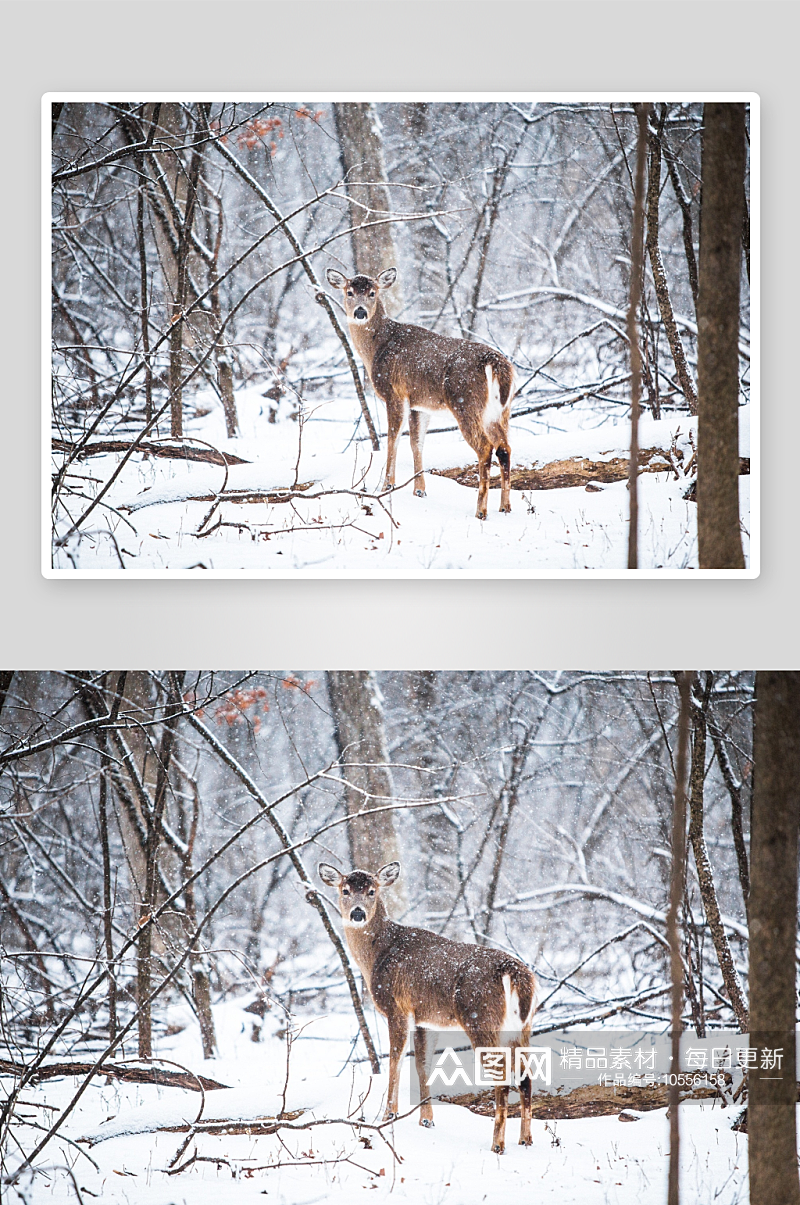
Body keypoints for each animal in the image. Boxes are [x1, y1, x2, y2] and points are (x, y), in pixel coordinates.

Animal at [318, 862, 537, 1151]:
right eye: (345, 890)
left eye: (371, 891)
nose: (357, 913)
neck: (377, 955)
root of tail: (515, 973)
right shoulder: (426, 1019)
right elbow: (423, 1065)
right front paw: (427, 1120)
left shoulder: (397, 1008)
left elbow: (395, 1061)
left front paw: (389, 1115)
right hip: (522, 1026)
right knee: (526, 1077)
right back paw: (526, 1139)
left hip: (480, 1017)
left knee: (503, 1079)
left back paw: (497, 1145)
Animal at [327, 268, 515, 518]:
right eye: (349, 292)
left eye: (372, 292)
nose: (360, 312)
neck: (377, 348)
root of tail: (496, 363)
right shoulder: (420, 404)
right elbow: (416, 442)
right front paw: (419, 490)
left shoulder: (395, 393)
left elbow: (393, 440)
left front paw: (387, 486)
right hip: (500, 411)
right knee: (504, 448)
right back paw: (505, 506)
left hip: (466, 402)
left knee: (485, 448)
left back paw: (481, 511)